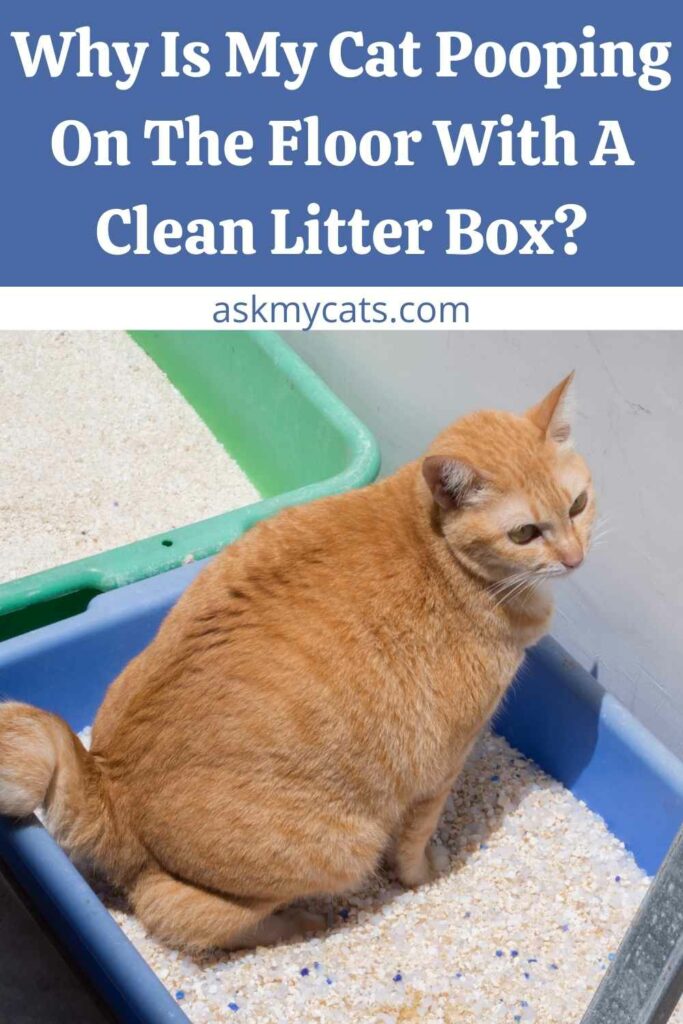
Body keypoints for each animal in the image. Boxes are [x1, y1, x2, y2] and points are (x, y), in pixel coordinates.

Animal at [0, 374, 593, 950]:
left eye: (578, 505)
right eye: (524, 533)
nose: (575, 558)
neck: (437, 546)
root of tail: (108, 780)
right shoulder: (441, 770)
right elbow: (414, 844)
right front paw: (425, 873)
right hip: (347, 847)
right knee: (178, 914)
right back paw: (298, 924)